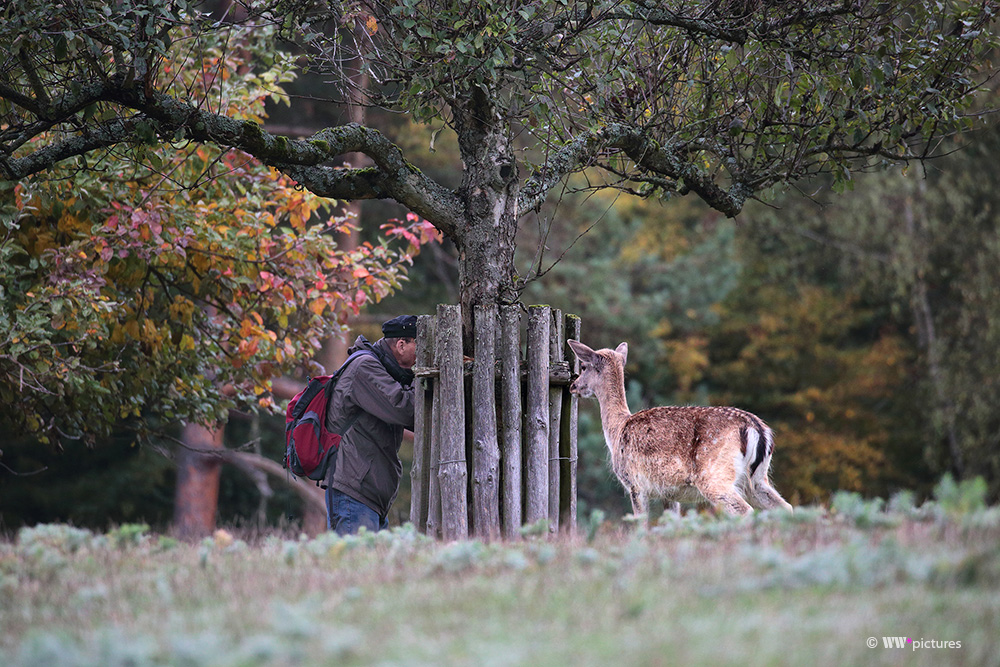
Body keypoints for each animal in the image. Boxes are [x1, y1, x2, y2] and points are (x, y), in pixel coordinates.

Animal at [572, 340, 788, 520]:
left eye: (583, 366)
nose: (573, 386)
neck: (616, 430)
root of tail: (757, 429)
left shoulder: (635, 484)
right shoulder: (669, 492)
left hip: (715, 475)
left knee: (744, 510)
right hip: (758, 479)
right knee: (785, 507)